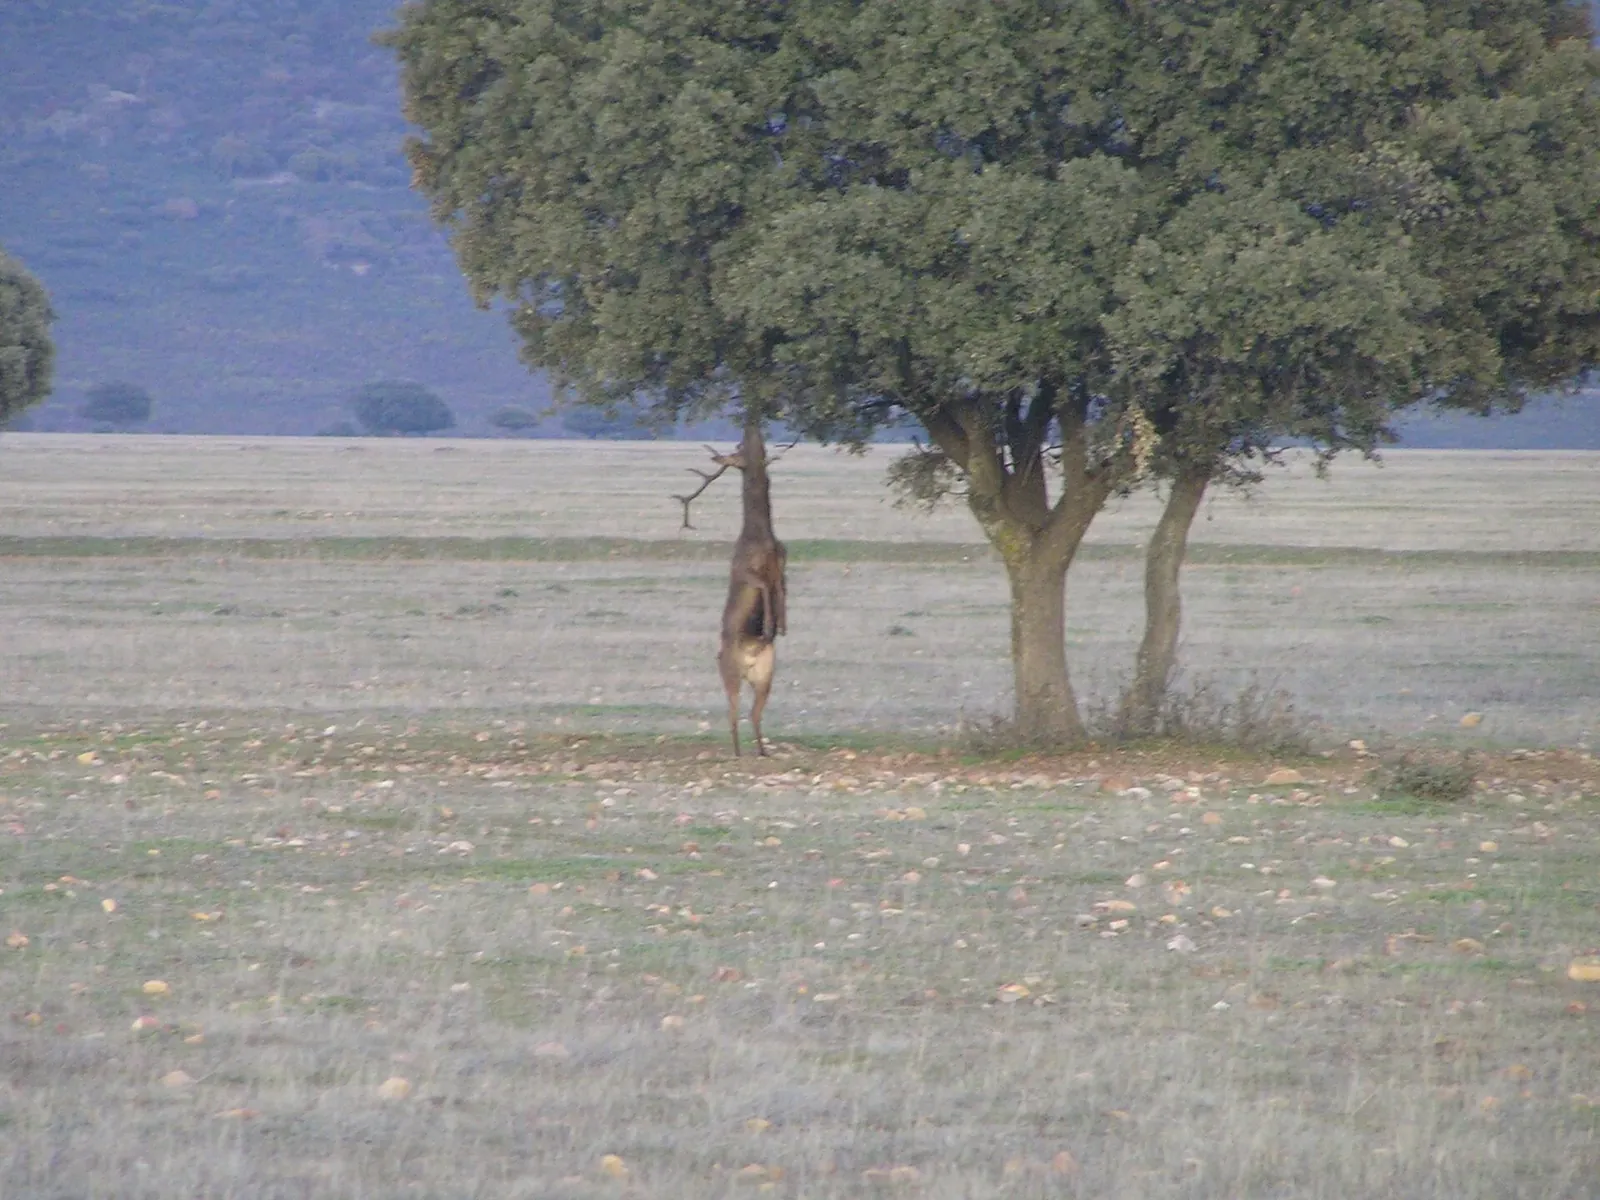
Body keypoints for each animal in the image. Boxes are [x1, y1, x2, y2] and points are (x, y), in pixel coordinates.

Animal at [675, 417, 787, 756]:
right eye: (740, 453)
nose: (752, 434)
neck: (761, 537)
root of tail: (749, 662)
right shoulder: (746, 571)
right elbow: (763, 588)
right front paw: (768, 626)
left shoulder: (781, 563)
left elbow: (781, 591)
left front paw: (782, 625)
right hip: (730, 673)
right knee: (733, 712)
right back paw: (738, 753)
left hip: (765, 675)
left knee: (754, 712)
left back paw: (762, 751)